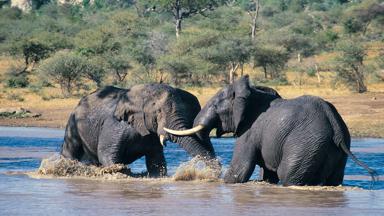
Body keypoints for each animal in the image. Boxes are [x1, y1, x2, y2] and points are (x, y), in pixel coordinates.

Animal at [61, 83, 214, 176]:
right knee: (70, 151)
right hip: (73, 124)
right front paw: (121, 170)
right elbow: (106, 153)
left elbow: (156, 161)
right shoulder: (115, 124)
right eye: (158, 112)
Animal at [167, 76, 376, 186]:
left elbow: (240, 171)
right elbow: (267, 174)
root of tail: (334, 124)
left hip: (304, 145)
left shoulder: (249, 130)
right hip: (336, 150)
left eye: (216, 105)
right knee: (334, 179)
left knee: (288, 175)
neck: (252, 93)